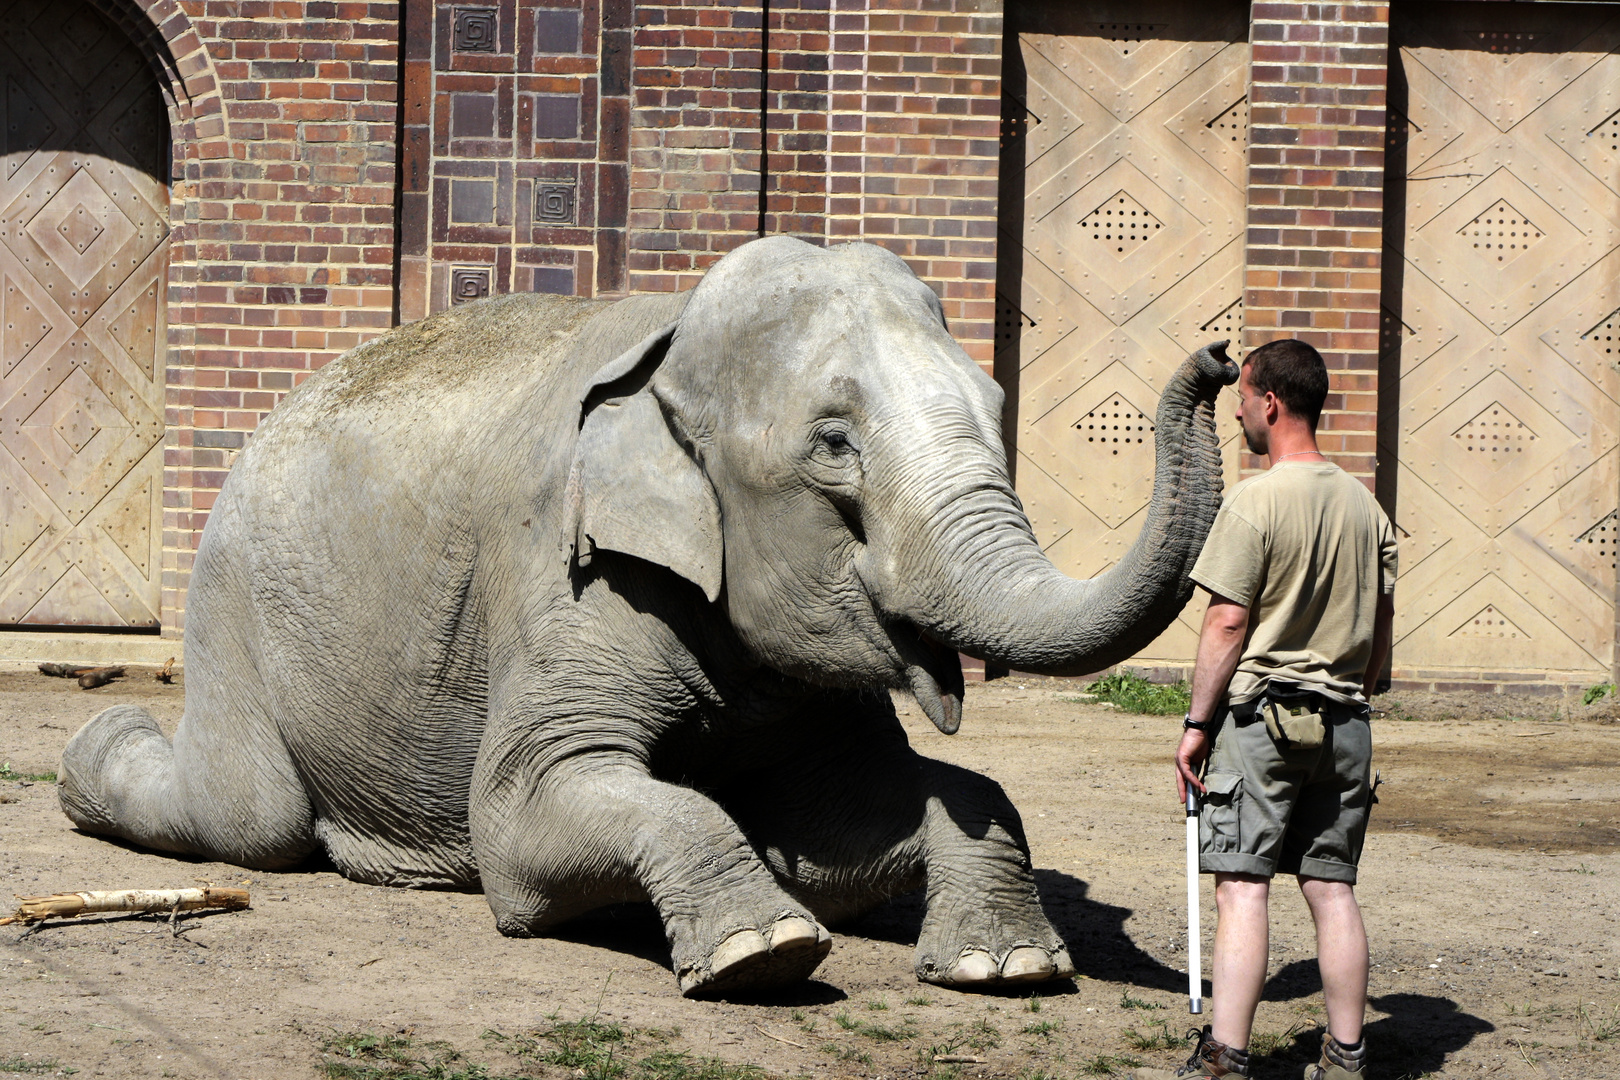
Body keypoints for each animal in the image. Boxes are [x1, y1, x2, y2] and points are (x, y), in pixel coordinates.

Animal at [57, 236, 1231, 997]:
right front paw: (763, 954)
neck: (667, 348)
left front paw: (1010, 966)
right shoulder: (565, 576)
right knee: (246, 817)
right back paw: (91, 755)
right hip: (232, 605)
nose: (1221, 359)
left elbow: (848, 821)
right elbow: (524, 816)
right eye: (835, 445)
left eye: (996, 407)